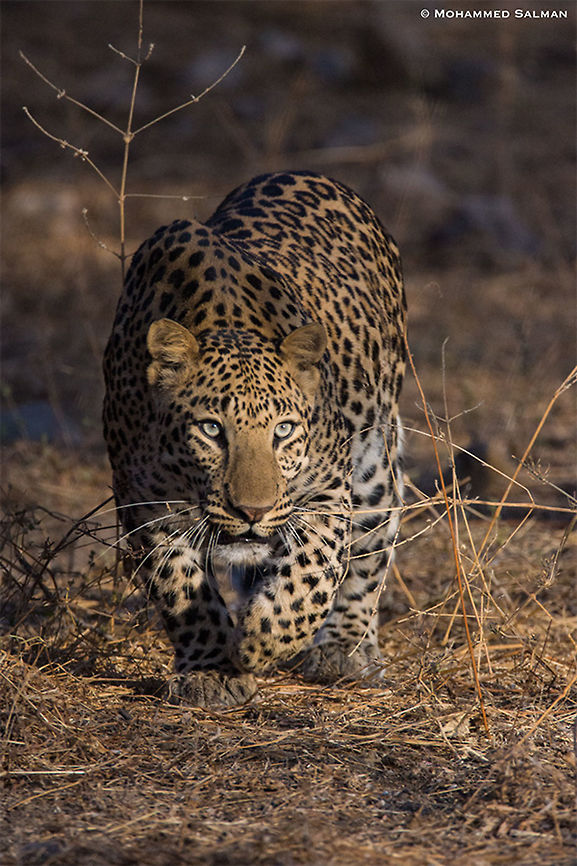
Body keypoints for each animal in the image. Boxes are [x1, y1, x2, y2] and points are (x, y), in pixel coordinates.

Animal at [103, 170, 406, 707]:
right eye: (211, 430)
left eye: (283, 431)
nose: (253, 512)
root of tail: (310, 173)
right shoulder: (144, 500)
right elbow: (181, 585)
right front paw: (211, 670)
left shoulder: (327, 490)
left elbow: (313, 574)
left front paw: (262, 642)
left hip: (374, 464)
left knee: (371, 548)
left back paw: (344, 649)